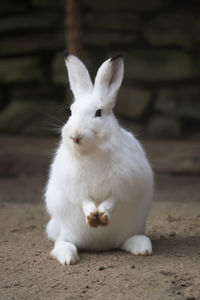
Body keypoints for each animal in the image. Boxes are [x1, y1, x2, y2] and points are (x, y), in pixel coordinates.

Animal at [45, 52, 153, 264]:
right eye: (71, 112)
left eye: (99, 112)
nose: (75, 135)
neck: (91, 152)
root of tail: (100, 246)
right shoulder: (76, 188)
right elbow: (84, 201)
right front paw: (92, 217)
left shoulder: (123, 186)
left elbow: (112, 200)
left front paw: (102, 216)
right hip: (65, 230)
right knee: (63, 243)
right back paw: (68, 258)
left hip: (132, 227)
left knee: (129, 241)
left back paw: (142, 248)